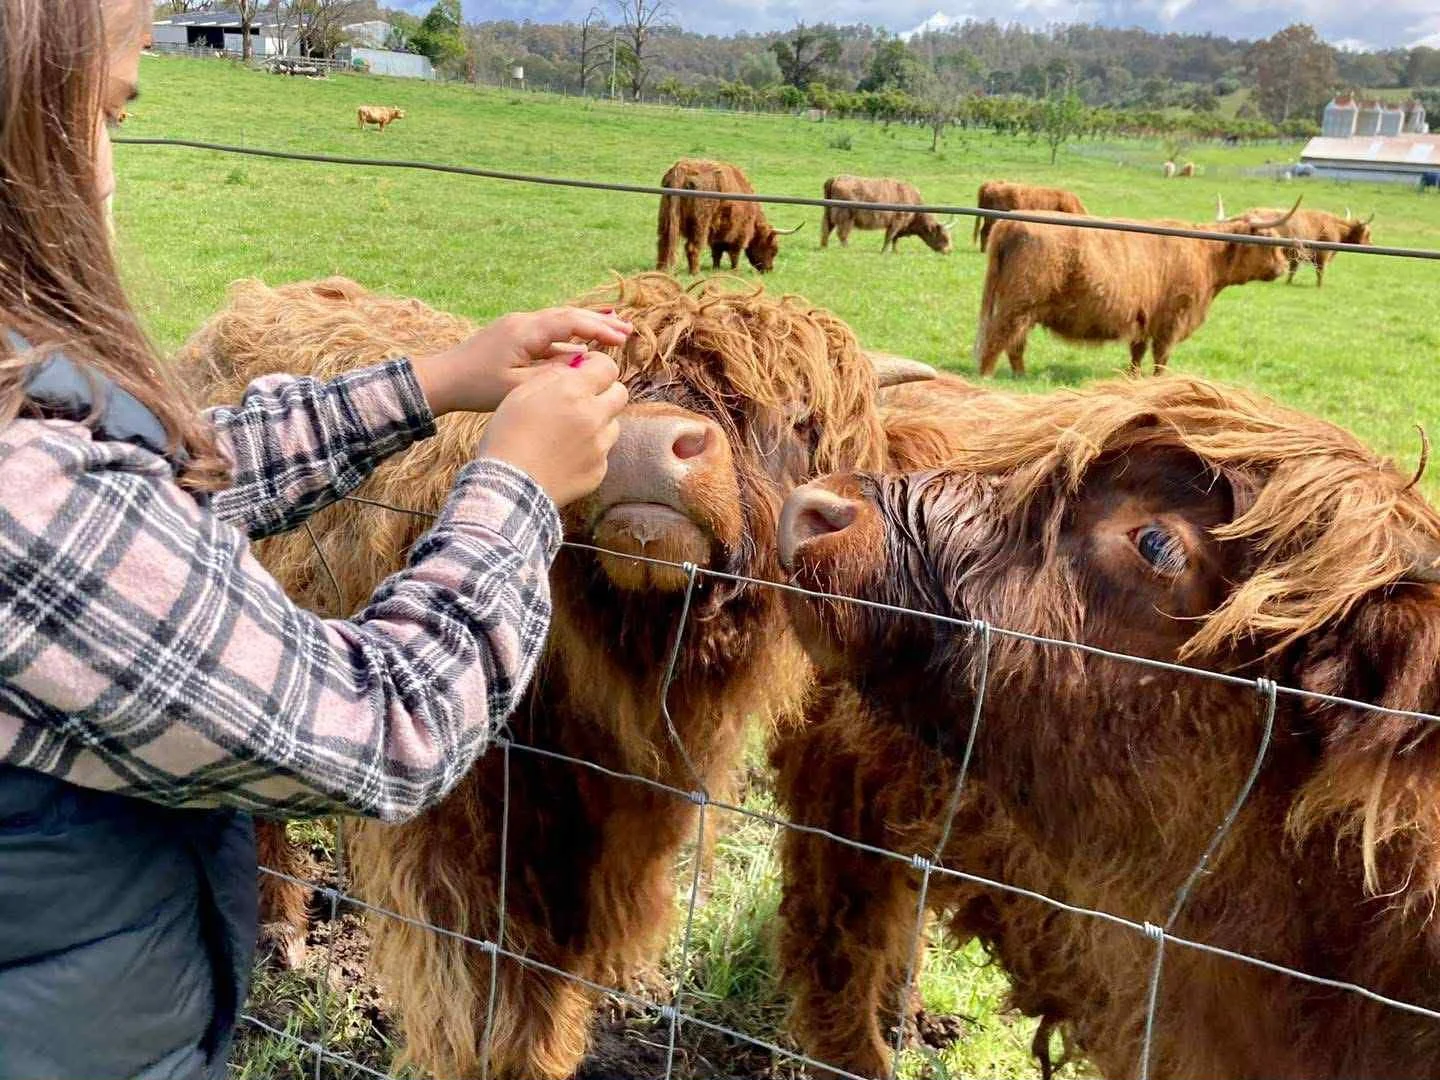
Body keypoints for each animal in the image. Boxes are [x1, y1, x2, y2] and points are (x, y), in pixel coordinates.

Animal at [179, 273, 934, 1080]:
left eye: (797, 418)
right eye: (613, 379)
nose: (646, 442)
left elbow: (550, 995)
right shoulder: (465, 848)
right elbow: (488, 1004)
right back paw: (280, 927)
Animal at [656, 158, 802, 275]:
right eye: (773, 249)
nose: (769, 270)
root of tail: (682, 168)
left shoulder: (717, 233)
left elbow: (716, 253)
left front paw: (716, 269)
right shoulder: (740, 232)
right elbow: (734, 253)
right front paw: (735, 271)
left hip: (666, 219)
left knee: (664, 244)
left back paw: (661, 270)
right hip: (700, 223)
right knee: (692, 247)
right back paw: (695, 272)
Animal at [820, 175, 953, 254]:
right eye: (943, 237)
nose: (949, 250)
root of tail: (836, 178)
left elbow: (895, 239)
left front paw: (895, 252)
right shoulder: (896, 222)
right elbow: (890, 237)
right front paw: (884, 252)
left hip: (829, 213)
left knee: (826, 229)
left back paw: (824, 247)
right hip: (846, 217)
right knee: (842, 233)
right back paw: (847, 249)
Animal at [973, 199, 1301, 377]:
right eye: (1269, 238)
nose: (1282, 265)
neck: (1208, 253)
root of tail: (1010, 222)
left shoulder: (1143, 319)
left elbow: (1138, 352)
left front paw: (1133, 378)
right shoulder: (1173, 317)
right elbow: (1162, 356)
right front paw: (1159, 382)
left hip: (1024, 308)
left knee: (1015, 343)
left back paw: (1020, 375)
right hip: (1019, 302)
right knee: (999, 337)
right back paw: (988, 376)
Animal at [1216, 194, 1373, 288]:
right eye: (1367, 233)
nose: (1371, 244)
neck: (1334, 226)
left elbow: (1294, 269)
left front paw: (1288, 283)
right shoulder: (1321, 254)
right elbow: (1319, 271)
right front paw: (1319, 287)